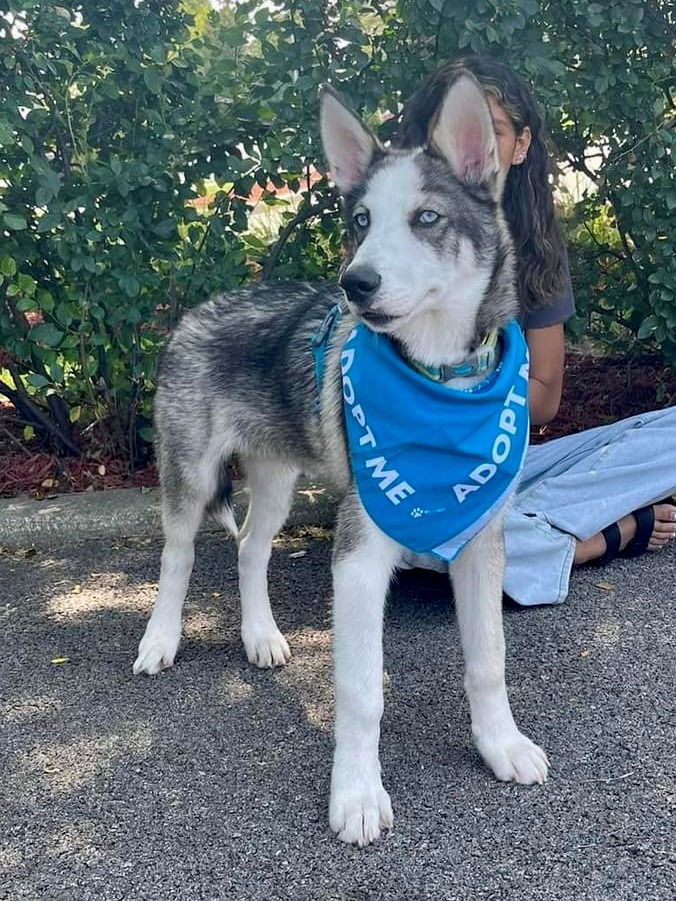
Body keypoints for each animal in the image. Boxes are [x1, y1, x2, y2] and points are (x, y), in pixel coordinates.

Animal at [133, 75, 548, 844]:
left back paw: (261, 636)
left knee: (251, 550)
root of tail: (197, 310)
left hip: (276, 479)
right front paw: (356, 793)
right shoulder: (358, 556)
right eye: (360, 219)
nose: (355, 283)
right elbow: (359, 690)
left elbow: (488, 660)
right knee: (179, 555)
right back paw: (161, 640)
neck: (440, 380)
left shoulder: (480, 541)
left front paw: (499, 745)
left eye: (426, 218)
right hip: (191, 473)